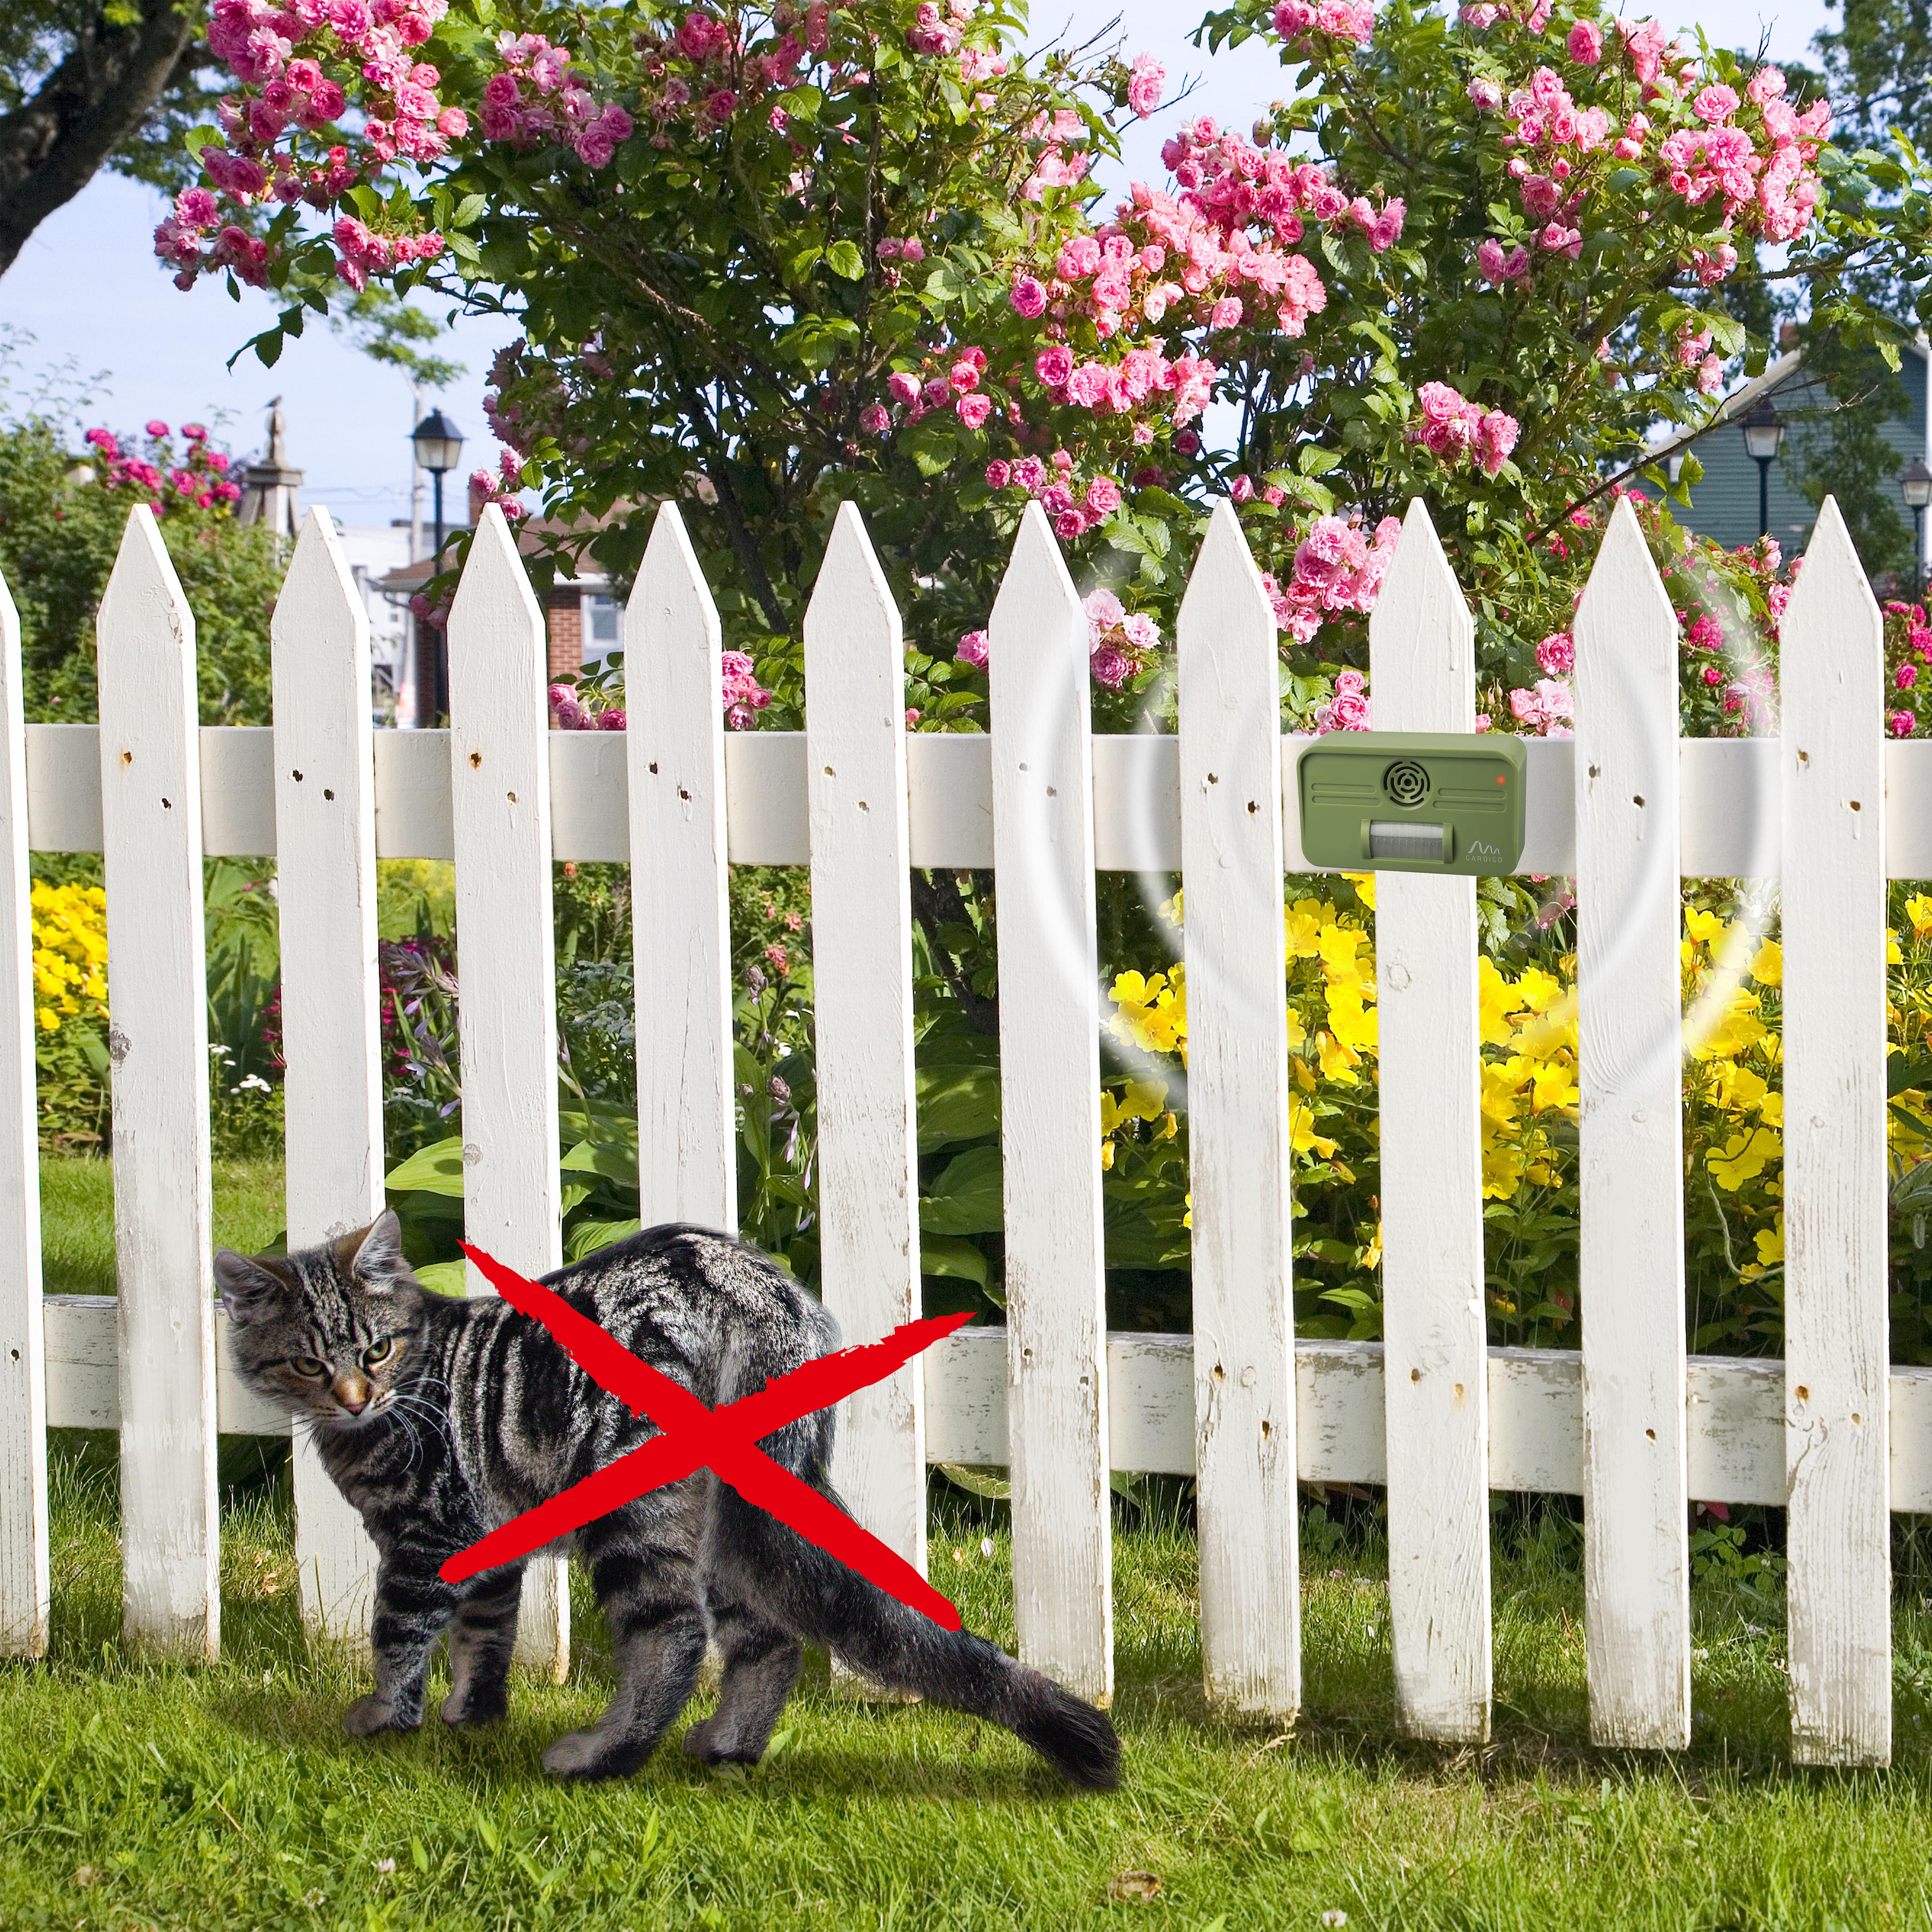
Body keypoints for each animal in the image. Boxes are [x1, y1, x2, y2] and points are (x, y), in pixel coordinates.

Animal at [215, 1213, 1120, 1785]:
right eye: (307, 1362)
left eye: (375, 1350)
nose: (353, 1397)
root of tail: (750, 1282)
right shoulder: (488, 1550)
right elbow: (484, 1641)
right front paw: (473, 1716)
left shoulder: (425, 1541)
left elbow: (397, 1636)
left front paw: (382, 1717)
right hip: (725, 1529)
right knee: (768, 1642)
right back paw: (729, 1747)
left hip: (636, 1519)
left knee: (674, 1639)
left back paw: (603, 1756)